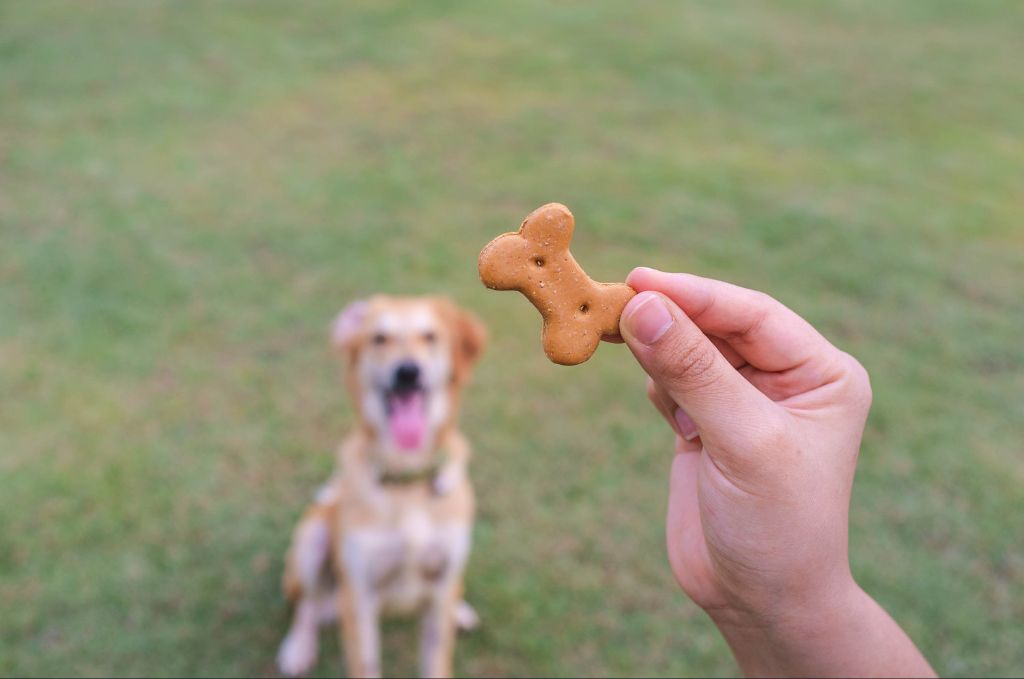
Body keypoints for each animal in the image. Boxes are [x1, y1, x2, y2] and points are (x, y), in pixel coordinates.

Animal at [276, 296, 487, 679]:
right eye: (379, 338)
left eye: (430, 336)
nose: (408, 372)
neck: (407, 478)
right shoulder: (359, 597)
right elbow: (365, 663)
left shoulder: (440, 586)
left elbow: (436, 659)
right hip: (311, 541)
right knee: (306, 605)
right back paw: (298, 647)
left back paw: (460, 611)